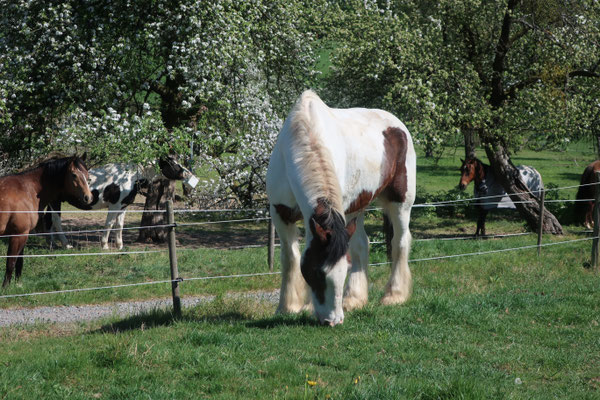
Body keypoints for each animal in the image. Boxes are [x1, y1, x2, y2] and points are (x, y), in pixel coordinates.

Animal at [0, 154, 92, 288]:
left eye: (87, 174)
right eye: (74, 175)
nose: (88, 197)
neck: (27, 189)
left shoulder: (23, 234)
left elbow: (19, 262)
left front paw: (18, 285)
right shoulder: (18, 234)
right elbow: (11, 262)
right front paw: (6, 288)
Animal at [46, 156, 195, 250]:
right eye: (173, 164)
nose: (187, 174)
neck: (130, 177)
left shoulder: (123, 206)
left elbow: (119, 225)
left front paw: (120, 245)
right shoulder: (114, 205)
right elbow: (110, 224)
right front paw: (105, 245)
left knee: (49, 221)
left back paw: (52, 244)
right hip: (55, 202)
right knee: (56, 221)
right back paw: (66, 245)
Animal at [268, 90, 418, 324]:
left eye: (341, 273)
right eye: (317, 273)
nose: (333, 321)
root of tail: (397, 125)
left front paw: (306, 306)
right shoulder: (280, 213)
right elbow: (290, 258)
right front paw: (287, 307)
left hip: (401, 202)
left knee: (400, 242)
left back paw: (394, 295)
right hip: (356, 208)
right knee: (362, 245)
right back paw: (354, 299)